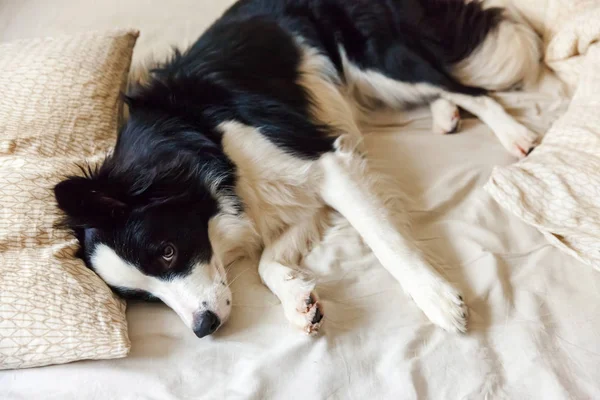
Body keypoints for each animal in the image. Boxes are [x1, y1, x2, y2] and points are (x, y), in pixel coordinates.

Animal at [54, 0, 540, 338]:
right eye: (144, 297)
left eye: (167, 251)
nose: (203, 328)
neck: (194, 141)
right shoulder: (288, 198)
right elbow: (267, 262)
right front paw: (297, 300)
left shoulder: (325, 163)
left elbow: (385, 241)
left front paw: (437, 298)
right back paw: (444, 116)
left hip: (379, 62)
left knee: (468, 89)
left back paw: (515, 134)